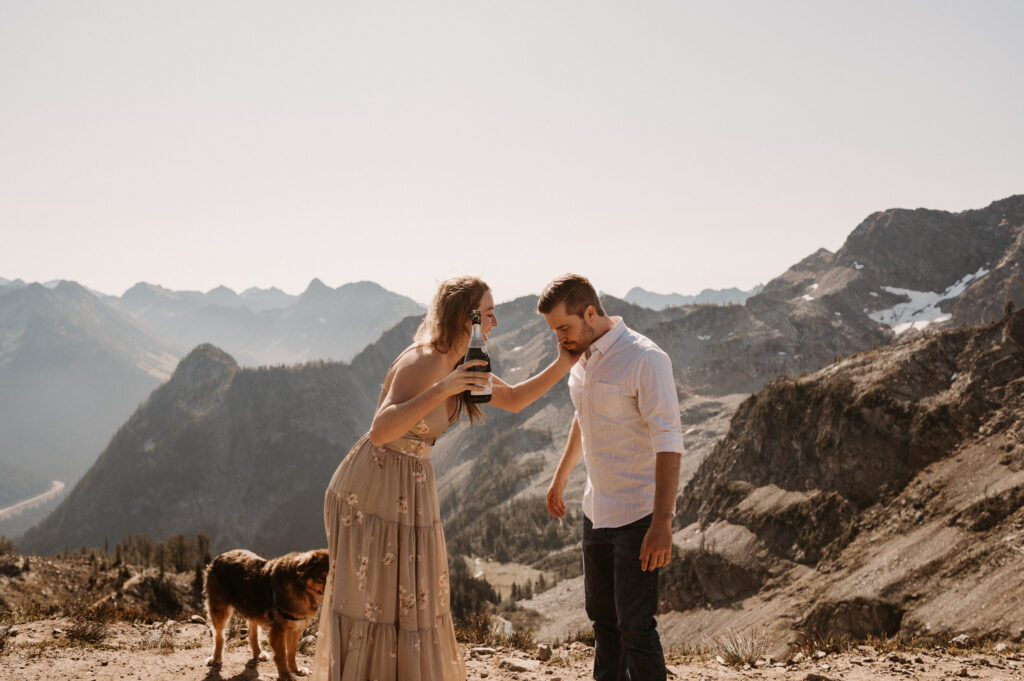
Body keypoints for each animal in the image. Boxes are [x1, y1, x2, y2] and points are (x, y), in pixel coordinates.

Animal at [200, 548, 325, 679]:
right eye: (322, 577)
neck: (300, 588)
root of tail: (222, 555)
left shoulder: (296, 627)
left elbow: (291, 652)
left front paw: (295, 669)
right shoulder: (279, 630)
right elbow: (281, 656)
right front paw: (286, 675)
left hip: (252, 606)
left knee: (252, 632)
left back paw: (257, 652)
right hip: (220, 609)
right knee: (219, 635)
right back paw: (216, 658)